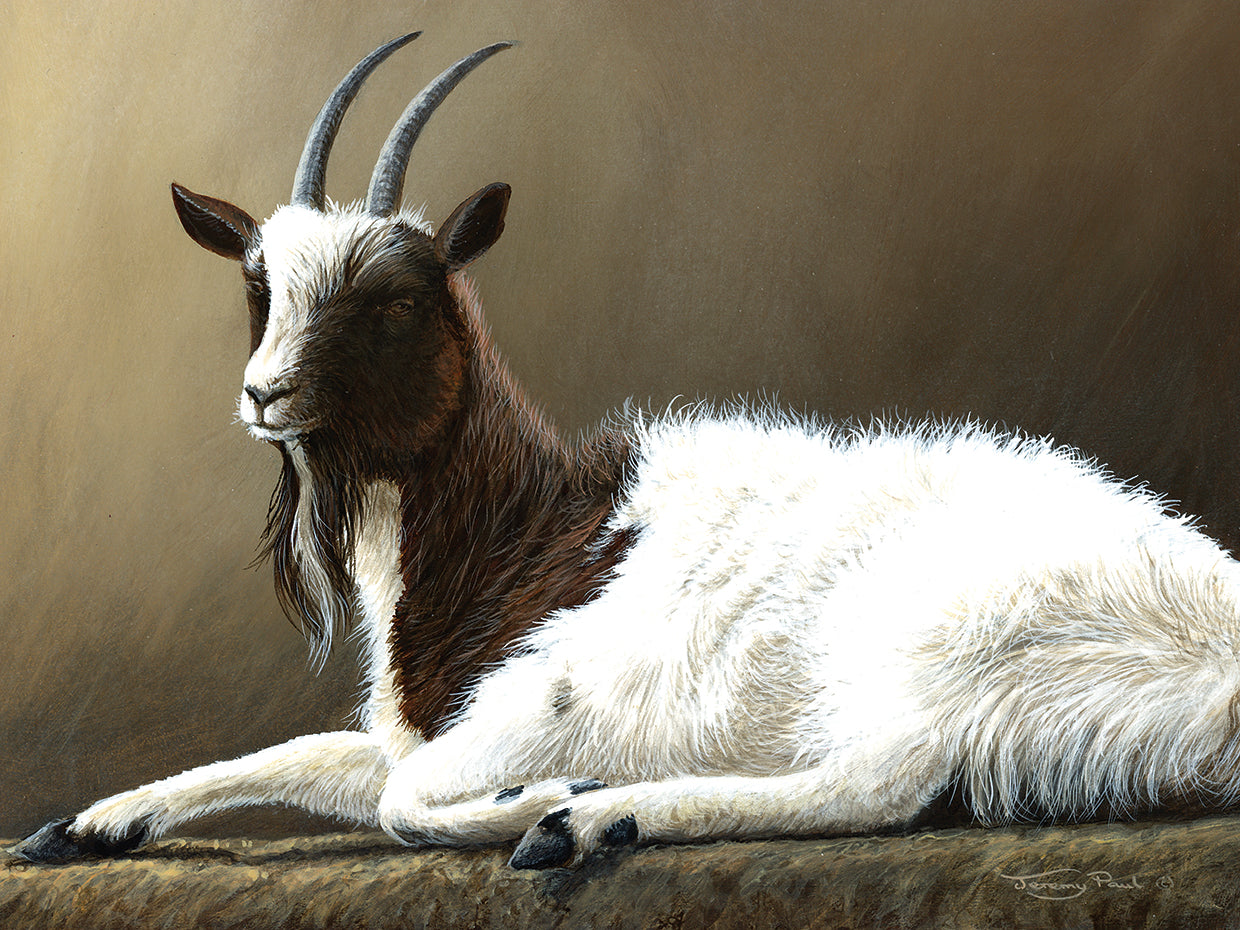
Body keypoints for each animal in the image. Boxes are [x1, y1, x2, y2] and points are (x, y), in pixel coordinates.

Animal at [13, 32, 1240, 871]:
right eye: (259, 285)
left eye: (395, 301)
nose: (263, 394)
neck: (538, 525)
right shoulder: (431, 728)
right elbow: (313, 756)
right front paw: (93, 820)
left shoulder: (548, 697)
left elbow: (408, 802)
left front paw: (540, 802)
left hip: (936, 652)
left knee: (886, 783)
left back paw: (590, 820)